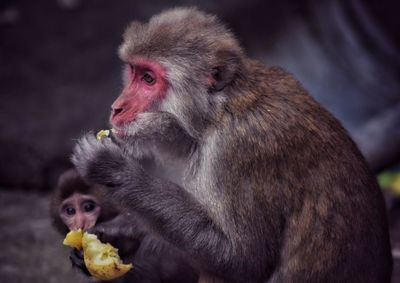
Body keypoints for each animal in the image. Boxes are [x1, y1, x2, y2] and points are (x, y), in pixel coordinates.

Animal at [71, 6, 390, 283]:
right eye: (134, 72)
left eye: (149, 79)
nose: (117, 108)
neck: (215, 114)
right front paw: (119, 231)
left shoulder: (237, 151)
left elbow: (242, 260)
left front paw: (113, 170)